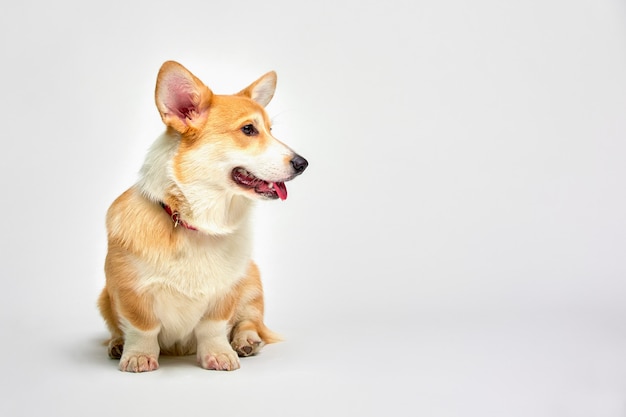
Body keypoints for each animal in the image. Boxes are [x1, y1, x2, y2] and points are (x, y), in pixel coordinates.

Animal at [95, 59, 308, 370]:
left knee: (249, 321)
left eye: (271, 130)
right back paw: (117, 344)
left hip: (251, 281)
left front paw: (219, 354)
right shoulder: (129, 290)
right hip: (104, 298)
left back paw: (246, 341)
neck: (199, 222)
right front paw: (138, 356)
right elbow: (142, 327)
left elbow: (213, 328)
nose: (303, 163)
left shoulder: (225, 293)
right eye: (248, 129)